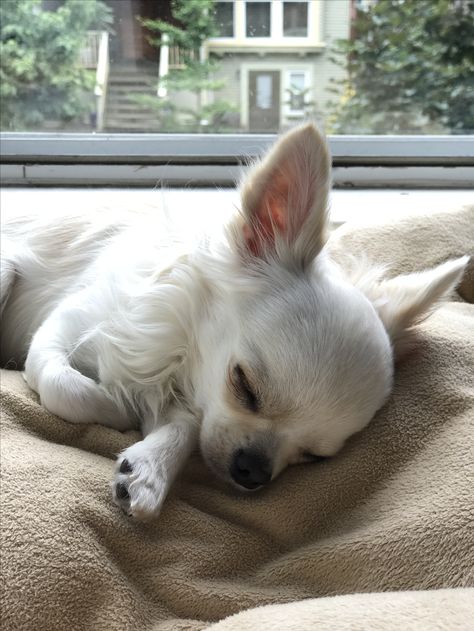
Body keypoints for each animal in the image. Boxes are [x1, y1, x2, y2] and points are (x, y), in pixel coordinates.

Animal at [0, 126, 466, 520]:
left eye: (315, 456)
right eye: (245, 387)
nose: (253, 470)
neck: (181, 360)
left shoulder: (189, 401)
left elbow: (186, 427)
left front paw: (150, 469)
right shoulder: (66, 326)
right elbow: (68, 388)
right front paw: (116, 407)